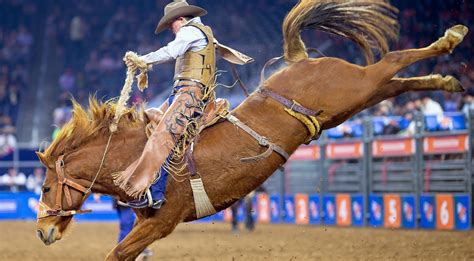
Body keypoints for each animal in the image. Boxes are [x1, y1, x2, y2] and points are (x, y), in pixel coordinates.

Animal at [35, 1, 468, 258]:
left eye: (45, 188)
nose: (42, 232)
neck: (133, 157)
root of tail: (301, 61)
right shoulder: (146, 224)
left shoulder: (161, 221)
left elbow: (117, 253)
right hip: (355, 100)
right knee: (394, 81)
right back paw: (447, 80)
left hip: (353, 86)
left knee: (392, 61)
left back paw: (451, 38)